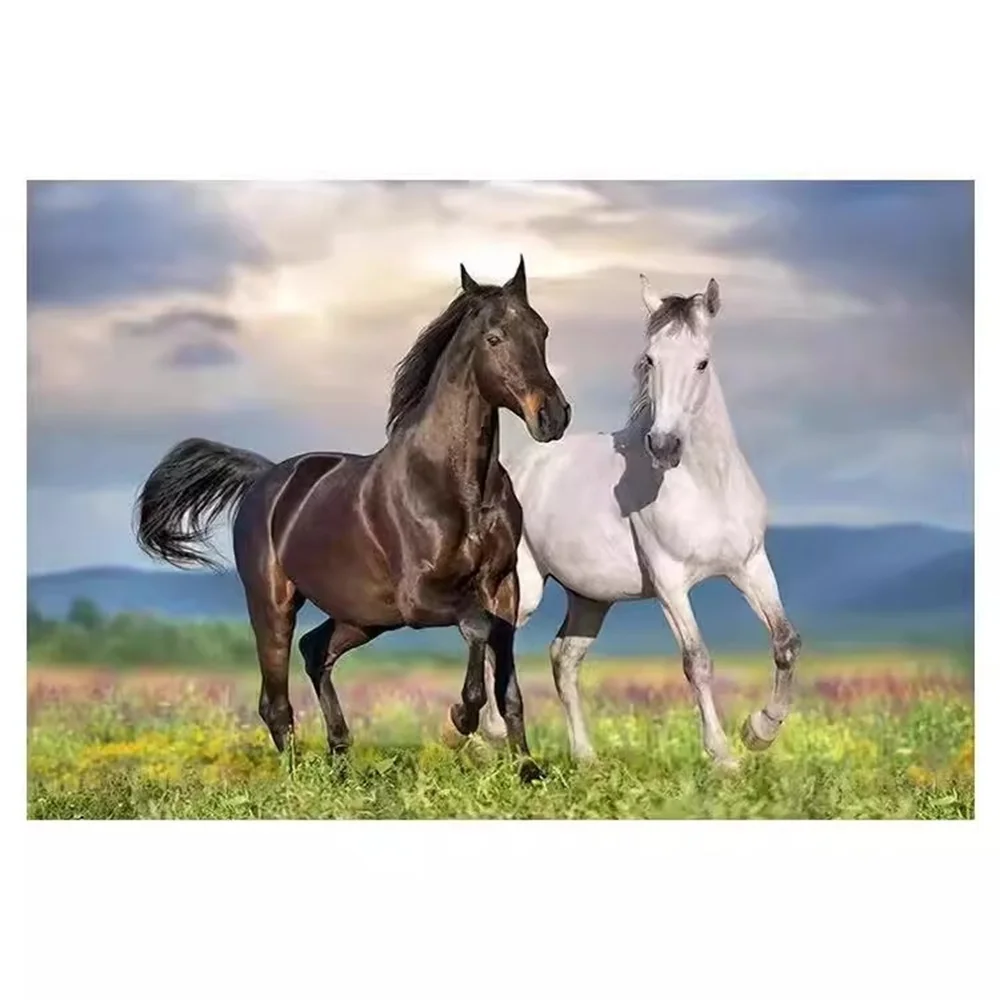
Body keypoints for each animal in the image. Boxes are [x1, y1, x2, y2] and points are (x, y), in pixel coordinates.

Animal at [134, 257, 571, 783]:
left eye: (542, 331)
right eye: (494, 338)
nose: (553, 417)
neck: (460, 487)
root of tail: (265, 477)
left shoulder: (501, 586)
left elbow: (507, 680)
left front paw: (527, 768)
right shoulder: (420, 598)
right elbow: (477, 628)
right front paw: (460, 719)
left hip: (365, 616)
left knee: (315, 651)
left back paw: (341, 756)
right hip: (274, 604)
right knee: (275, 699)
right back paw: (298, 776)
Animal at [479, 274, 801, 770]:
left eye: (702, 362)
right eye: (650, 360)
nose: (664, 445)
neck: (707, 485)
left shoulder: (750, 566)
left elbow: (784, 643)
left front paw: (759, 731)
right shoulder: (670, 582)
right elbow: (697, 660)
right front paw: (724, 757)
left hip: (591, 599)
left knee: (564, 658)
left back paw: (585, 756)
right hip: (526, 588)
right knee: (494, 640)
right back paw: (493, 734)